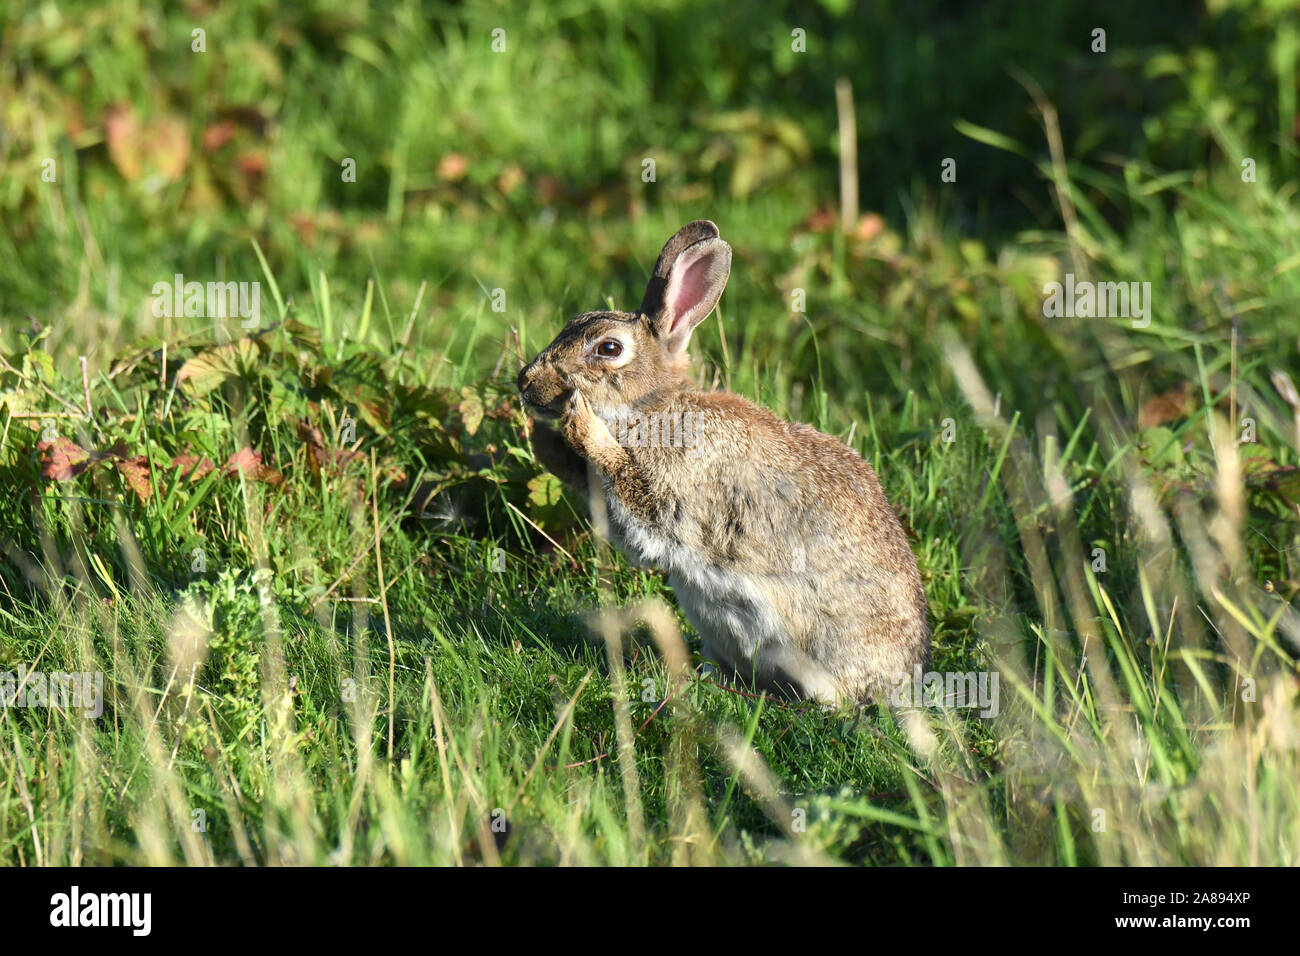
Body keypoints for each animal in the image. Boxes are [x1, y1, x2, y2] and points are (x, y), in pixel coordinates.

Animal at [517, 220, 929, 707]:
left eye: (609, 348)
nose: (525, 382)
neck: (652, 407)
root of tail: (907, 673)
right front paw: (540, 434)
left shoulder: (675, 496)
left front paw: (579, 421)